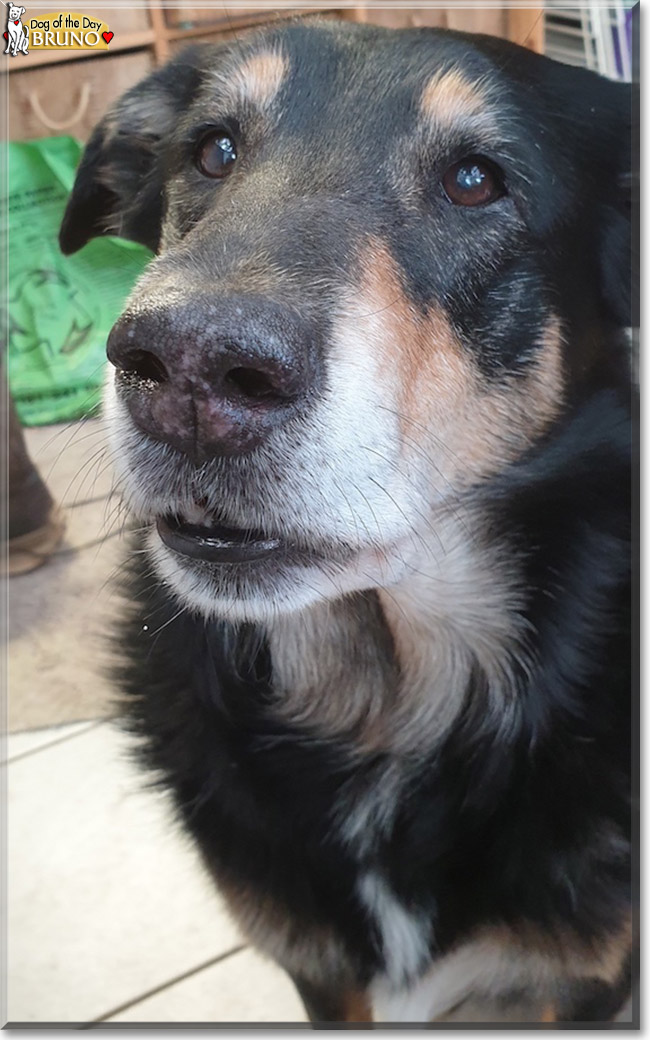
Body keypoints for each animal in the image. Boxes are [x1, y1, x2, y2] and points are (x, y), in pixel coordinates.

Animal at [58, 16, 632, 1023]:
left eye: (476, 180)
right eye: (213, 152)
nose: (189, 368)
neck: (383, 702)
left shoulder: (581, 981)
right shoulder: (320, 975)